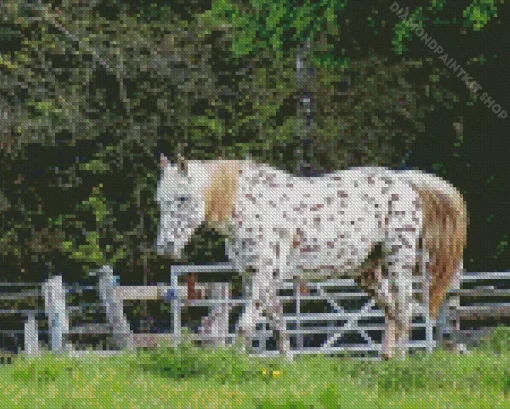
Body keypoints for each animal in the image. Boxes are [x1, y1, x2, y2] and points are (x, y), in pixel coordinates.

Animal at [154, 156, 466, 360]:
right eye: (160, 201)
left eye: (182, 198)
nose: (165, 248)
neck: (248, 205)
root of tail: (405, 182)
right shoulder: (255, 276)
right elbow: (277, 325)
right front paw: (286, 366)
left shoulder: (265, 274)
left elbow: (245, 325)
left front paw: (232, 363)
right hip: (366, 273)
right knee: (391, 310)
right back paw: (385, 361)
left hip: (398, 261)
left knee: (404, 310)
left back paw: (401, 362)